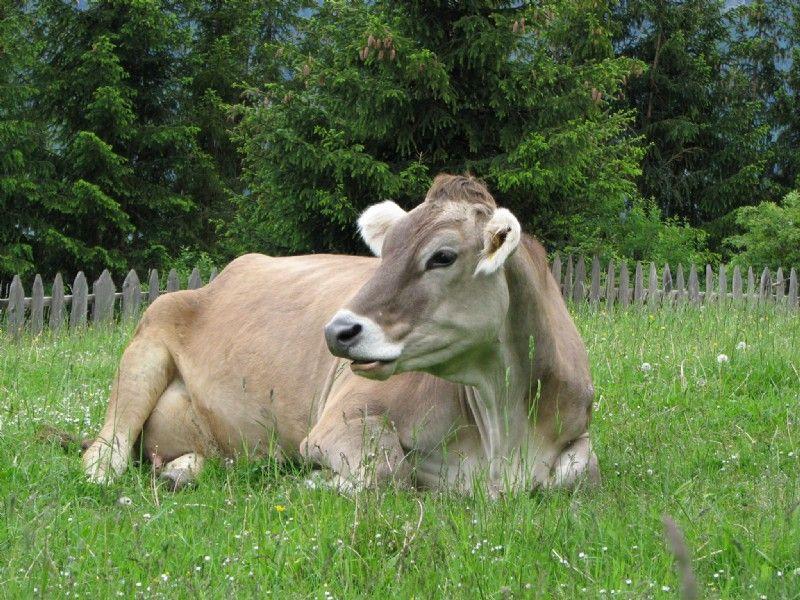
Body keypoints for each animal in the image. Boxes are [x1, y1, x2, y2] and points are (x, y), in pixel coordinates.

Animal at [83, 174, 598, 495]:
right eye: (385, 252)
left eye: (443, 256)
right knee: (104, 454)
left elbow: (581, 467)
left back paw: (182, 471)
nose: (337, 330)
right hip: (146, 345)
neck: (502, 427)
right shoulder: (339, 421)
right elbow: (389, 471)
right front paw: (313, 479)